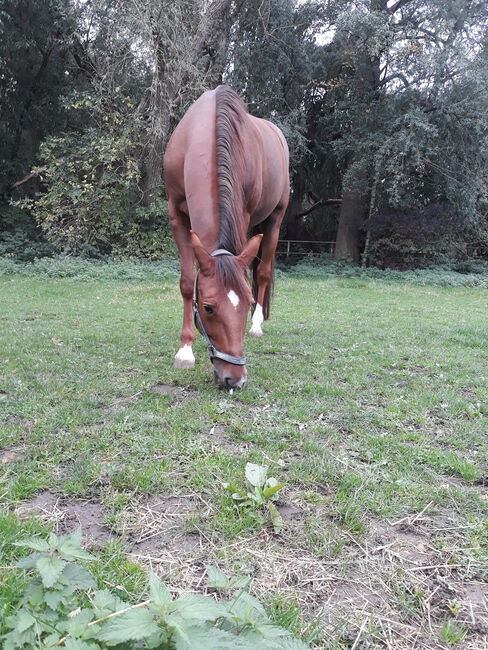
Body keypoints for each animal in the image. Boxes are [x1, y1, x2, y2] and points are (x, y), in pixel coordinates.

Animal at [164, 84, 288, 388]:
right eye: (208, 308)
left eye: (247, 303)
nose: (235, 378)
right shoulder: (175, 215)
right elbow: (187, 282)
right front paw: (185, 350)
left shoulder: (243, 213)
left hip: (273, 219)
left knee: (263, 273)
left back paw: (256, 326)